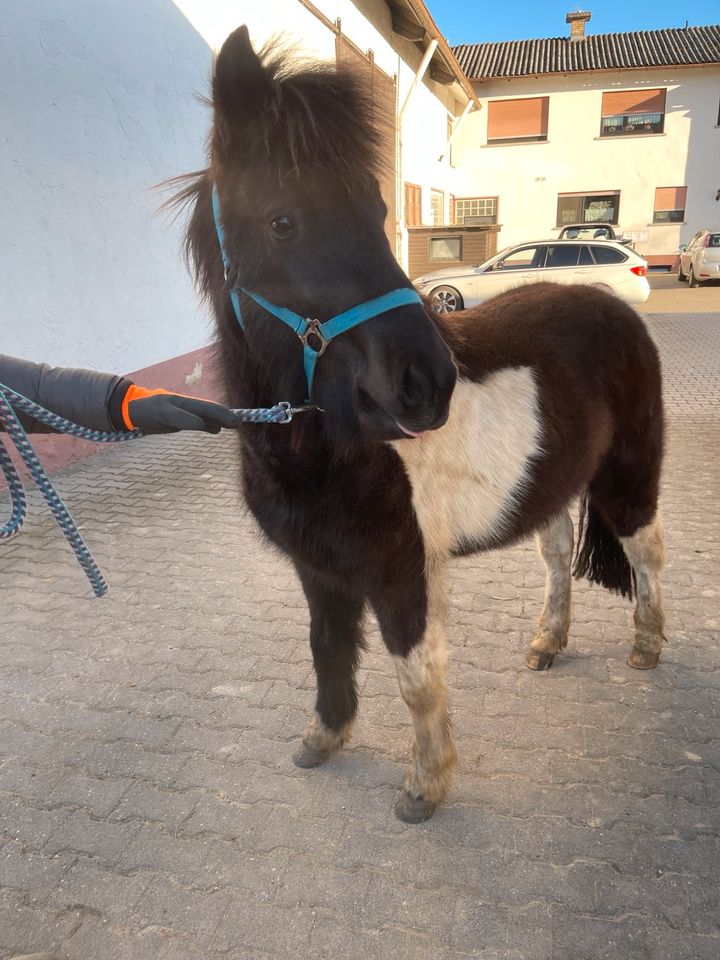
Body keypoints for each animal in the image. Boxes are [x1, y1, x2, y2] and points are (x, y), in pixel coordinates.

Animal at [173, 28, 664, 824]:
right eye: (283, 219)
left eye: (377, 209)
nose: (428, 384)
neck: (324, 446)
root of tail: (612, 306)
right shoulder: (320, 569)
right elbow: (327, 647)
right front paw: (322, 738)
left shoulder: (403, 571)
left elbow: (416, 674)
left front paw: (424, 787)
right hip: (553, 484)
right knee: (557, 556)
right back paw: (546, 643)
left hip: (630, 476)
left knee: (647, 553)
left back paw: (648, 647)